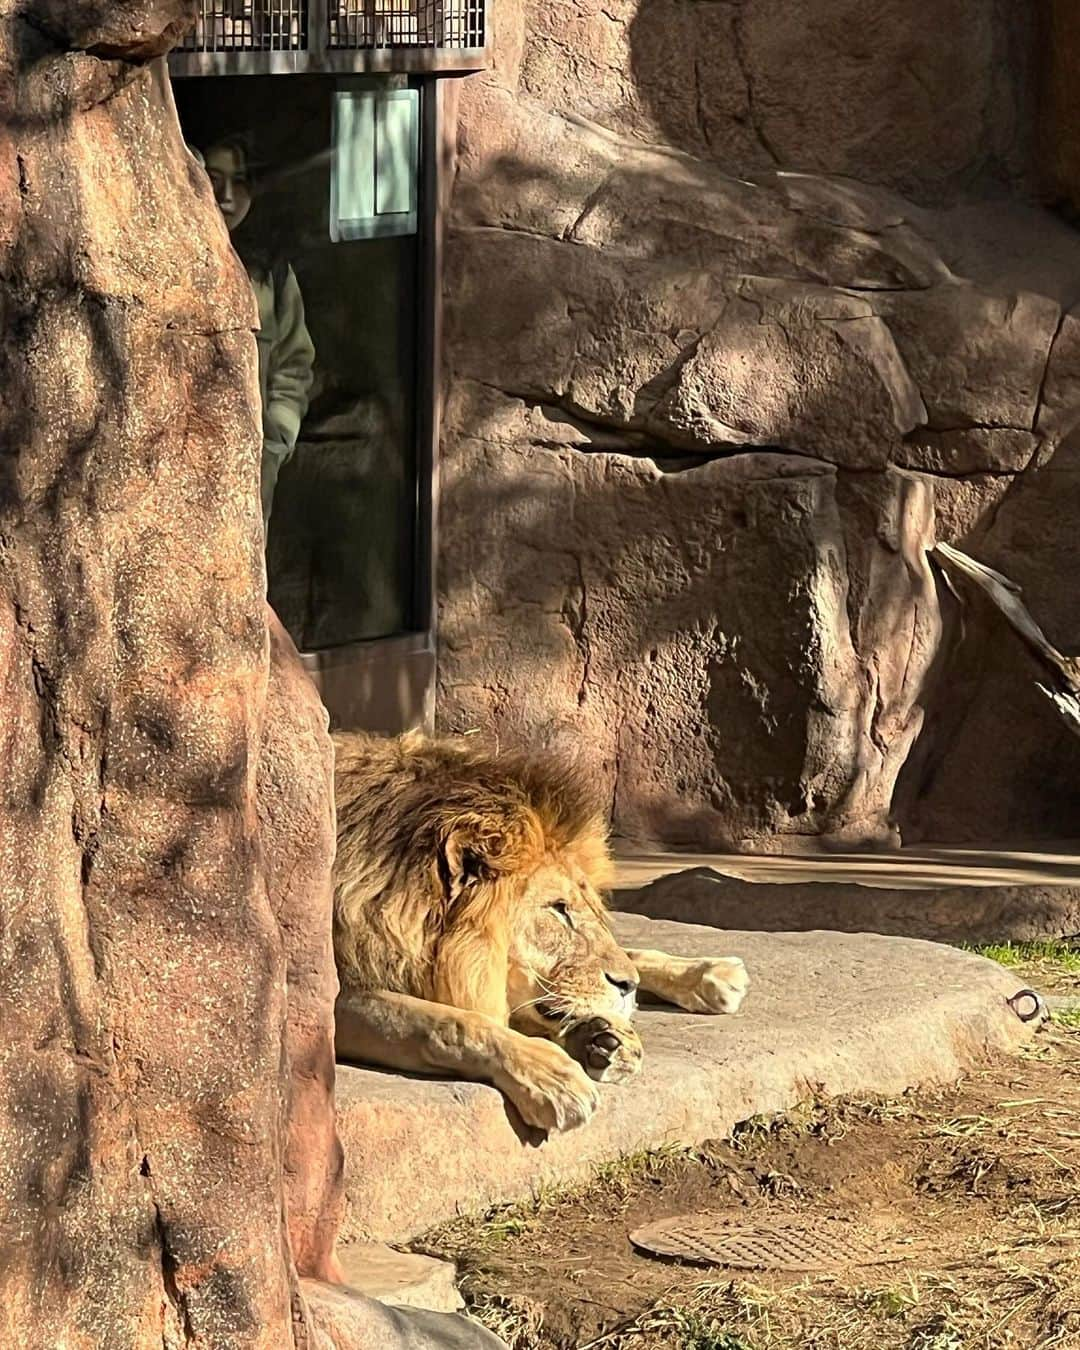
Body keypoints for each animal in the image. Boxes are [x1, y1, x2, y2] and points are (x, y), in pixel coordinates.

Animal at [330, 734, 750, 1134]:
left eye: (584, 903)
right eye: (558, 908)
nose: (627, 986)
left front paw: (604, 1036)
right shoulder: (334, 995)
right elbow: (444, 1021)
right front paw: (552, 1075)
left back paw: (712, 974)